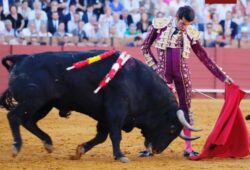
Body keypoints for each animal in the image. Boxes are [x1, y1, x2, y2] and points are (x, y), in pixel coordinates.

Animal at [0, 50, 199, 162]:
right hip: (33, 100)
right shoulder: (116, 110)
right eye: (172, 128)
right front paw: (120, 155)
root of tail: (21, 58)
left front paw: (80, 151)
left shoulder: (104, 116)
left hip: (43, 105)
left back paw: (48, 143)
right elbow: (115, 135)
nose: (157, 150)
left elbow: (101, 136)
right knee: (14, 117)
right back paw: (17, 147)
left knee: (28, 121)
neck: (139, 83)